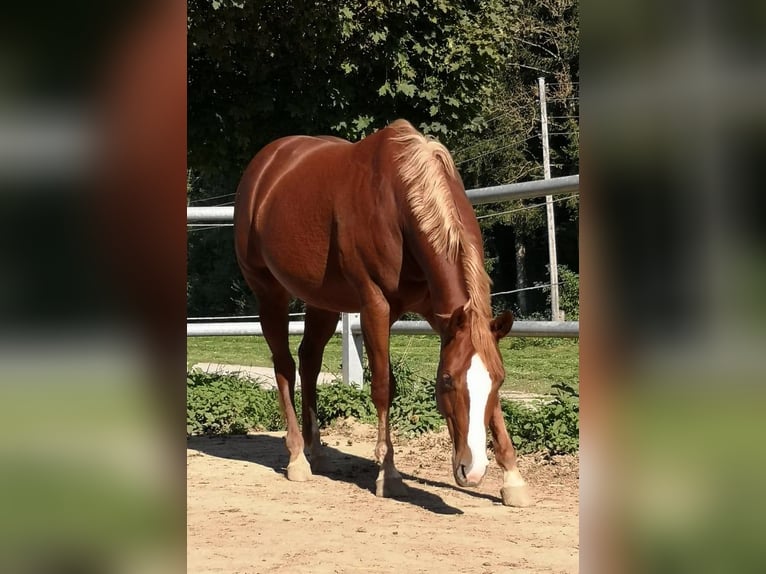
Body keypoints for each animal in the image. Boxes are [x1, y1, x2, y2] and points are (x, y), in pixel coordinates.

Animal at [233, 119, 532, 507]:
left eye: (499, 380)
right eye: (446, 380)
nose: (473, 469)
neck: (398, 201)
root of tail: (265, 167)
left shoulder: (440, 314)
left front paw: (513, 478)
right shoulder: (375, 306)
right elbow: (383, 386)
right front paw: (388, 474)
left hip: (323, 301)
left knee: (310, 359)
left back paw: (317, 451)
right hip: (269, 292)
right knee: (285, 366)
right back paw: (298, 457)